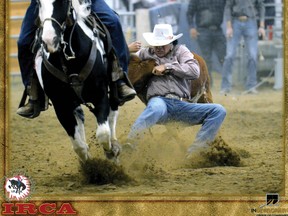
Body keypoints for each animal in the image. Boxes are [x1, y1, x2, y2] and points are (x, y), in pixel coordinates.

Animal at [35, 0, 121, 163]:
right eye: (38, 3)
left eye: (62, 2)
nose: (49, 40)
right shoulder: (61, 105)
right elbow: (78, 145)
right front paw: (88, 164)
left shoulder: (100, 94)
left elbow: (103, 133)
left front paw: (111, 153)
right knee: (80, 119)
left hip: (112, 90)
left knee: (113, 113)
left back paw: (114, 144)